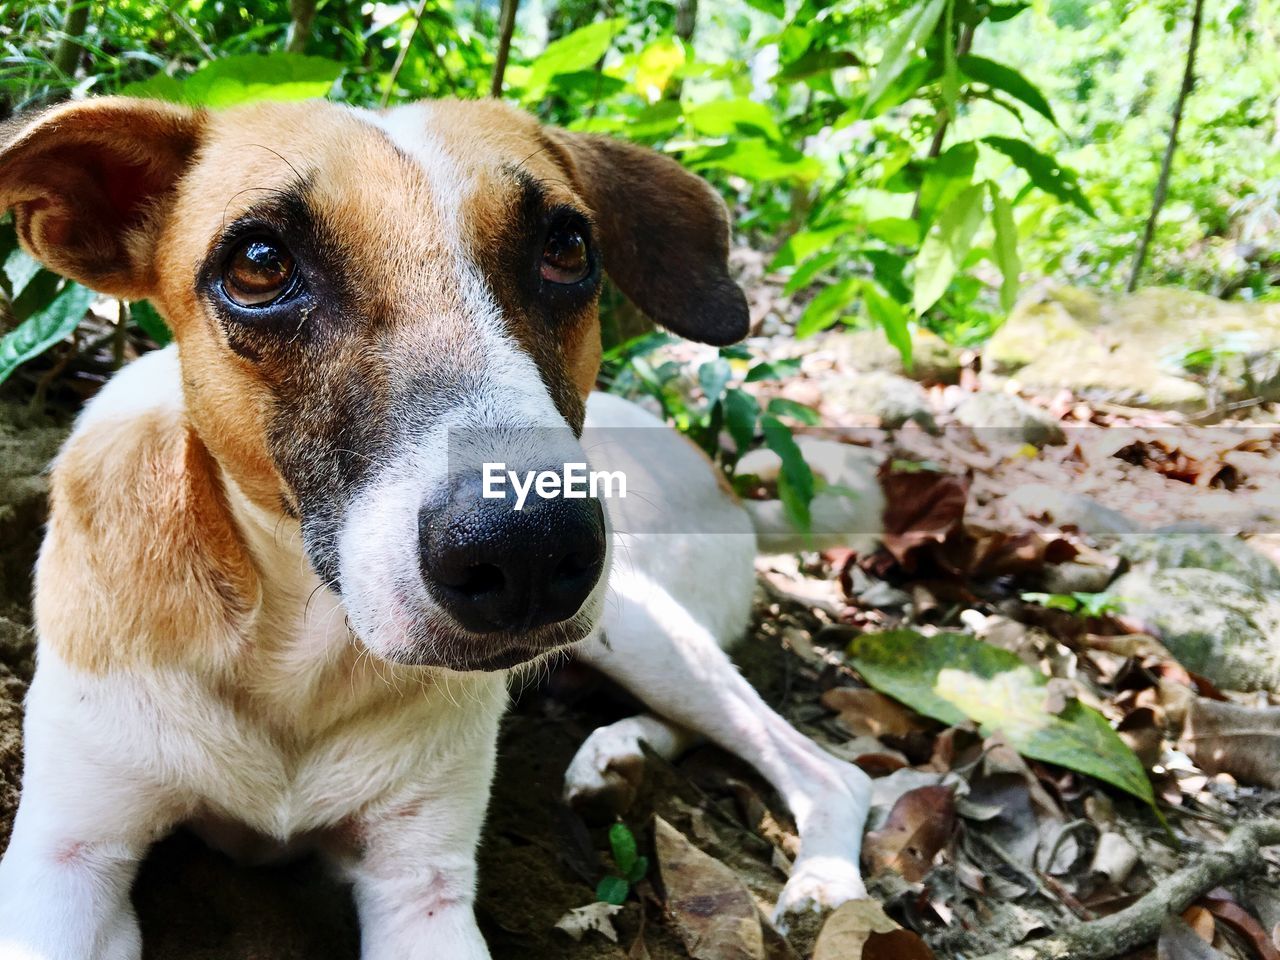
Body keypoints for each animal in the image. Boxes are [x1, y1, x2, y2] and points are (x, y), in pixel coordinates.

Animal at [0, 92, 875, 960]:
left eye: (566, 248)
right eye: (259, 263)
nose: (527, 548)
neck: (295, 650)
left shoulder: (422, 886)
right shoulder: (65, 860)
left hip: (635, 618)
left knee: (828, 768)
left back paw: (820, 880)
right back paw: (621, 756)